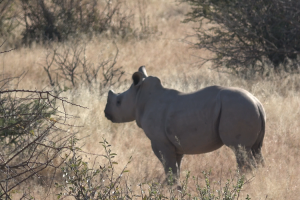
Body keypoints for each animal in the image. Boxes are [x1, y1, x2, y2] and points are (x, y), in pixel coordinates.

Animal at [104, 67, 266, 181]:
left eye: (118, 102)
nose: (106, 113)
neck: (139, 97)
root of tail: (257, 103)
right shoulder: (176, 145)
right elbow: (176, 168)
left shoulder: (161, 143)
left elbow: (169, 167)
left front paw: (171, 188)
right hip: (247, 109)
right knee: (256, 151)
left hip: (238, 109)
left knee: (240, 151)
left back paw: (242, 182)